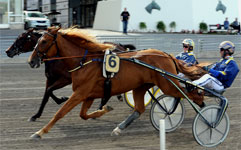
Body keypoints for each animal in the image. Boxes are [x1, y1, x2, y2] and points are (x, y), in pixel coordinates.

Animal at [5, 28, 136, 122]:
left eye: (21, 38)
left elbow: (49, 90)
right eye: (37, 42)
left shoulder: (66, 79)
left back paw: (99, 109)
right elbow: (46, 94)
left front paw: (62, 99)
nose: (7, 51)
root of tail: (121, 46)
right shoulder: (50, 78)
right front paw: (36, 115)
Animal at [27, 27, 205, 138]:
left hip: (167, 84)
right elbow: (83, 115)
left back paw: (204, 110)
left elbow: (60, 112)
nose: (31, 61)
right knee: (139, 109)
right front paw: (105, 108)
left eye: (43, 41)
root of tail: (166, 55)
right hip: (141, 86)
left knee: (190, 94)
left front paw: (39, 132)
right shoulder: (88, 95)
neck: (84, 61)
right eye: (37, 41)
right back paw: (119, 128)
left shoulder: (80, 93)